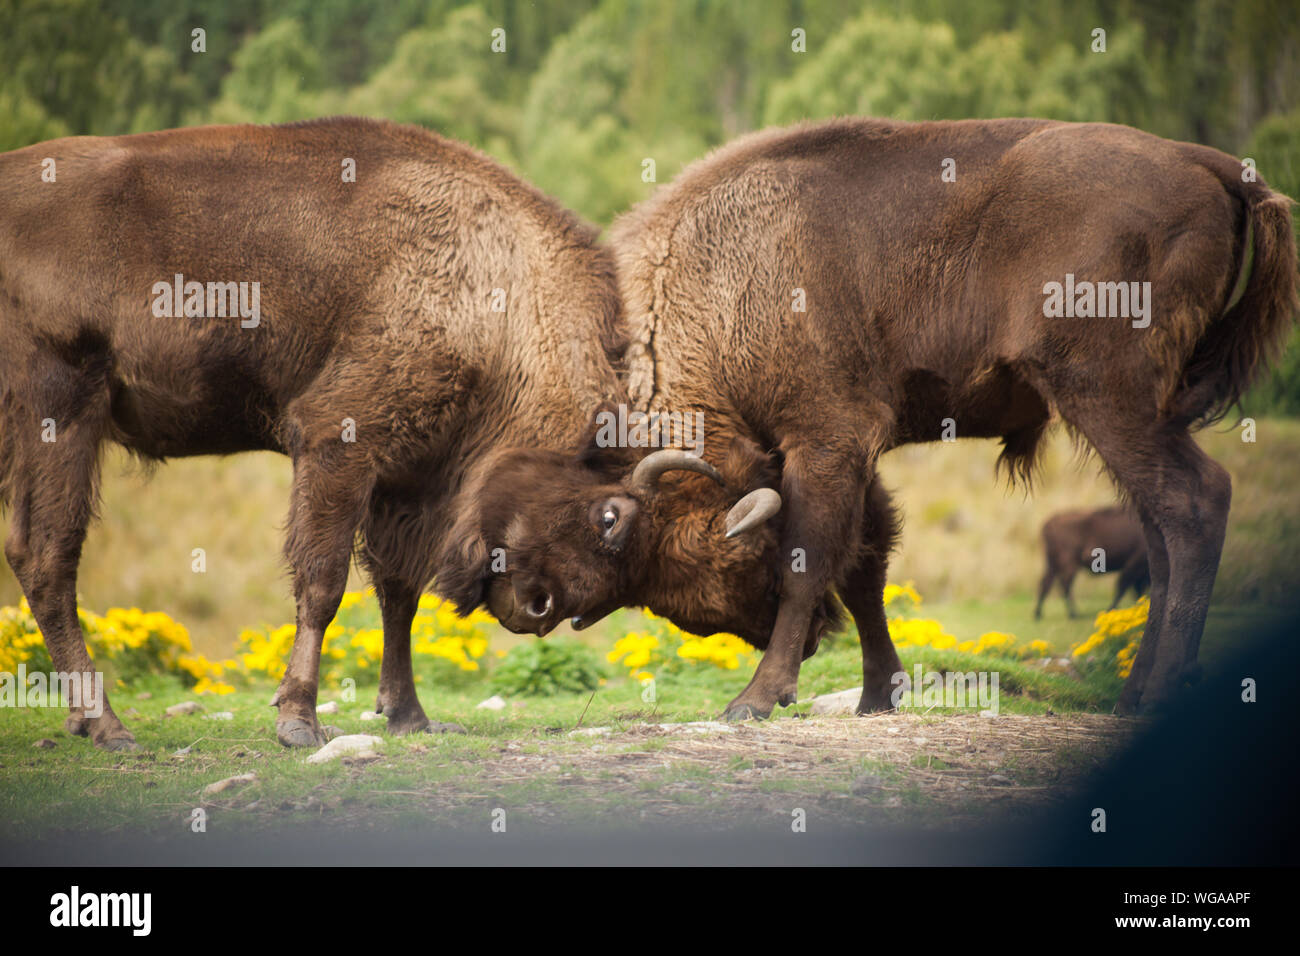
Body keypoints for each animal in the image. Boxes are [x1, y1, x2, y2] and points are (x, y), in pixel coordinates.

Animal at [0, 117, 625, 749]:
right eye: (600, 511)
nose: (540, 609)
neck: (498, 288)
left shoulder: (407, 481)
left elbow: (399, 593)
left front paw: (410, 716)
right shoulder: (339, 443)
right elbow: (323, 582)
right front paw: (299, 721)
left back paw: (84, 720)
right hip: (63, 411)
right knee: (48, 557)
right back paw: (110, 727)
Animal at [444, 117, 1296, 718]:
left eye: (612, 522)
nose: (526, 605)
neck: (717, 280)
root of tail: (1212, 165)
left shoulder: (827, 438)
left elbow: (814, 558)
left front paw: (754, 700)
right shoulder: (851, 456)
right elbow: (865, 569)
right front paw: (874, 695)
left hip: (1108, 396)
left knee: (1193, 503)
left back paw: (1156, 692)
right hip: (1132, 414)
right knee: (1159, 526)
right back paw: (1133, 693)